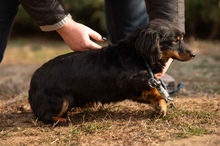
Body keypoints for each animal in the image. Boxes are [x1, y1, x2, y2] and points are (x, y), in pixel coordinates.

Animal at [28, 19, 195, 123]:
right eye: (175, 41)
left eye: (182, 38)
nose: (194, 54)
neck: (139, 55)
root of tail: (33, 82)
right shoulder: (127, 81)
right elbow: (148, 81)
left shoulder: (134, 91)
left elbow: (154, 91)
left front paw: (161, 105)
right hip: (62, 100)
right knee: (45, 116)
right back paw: (62, 120)